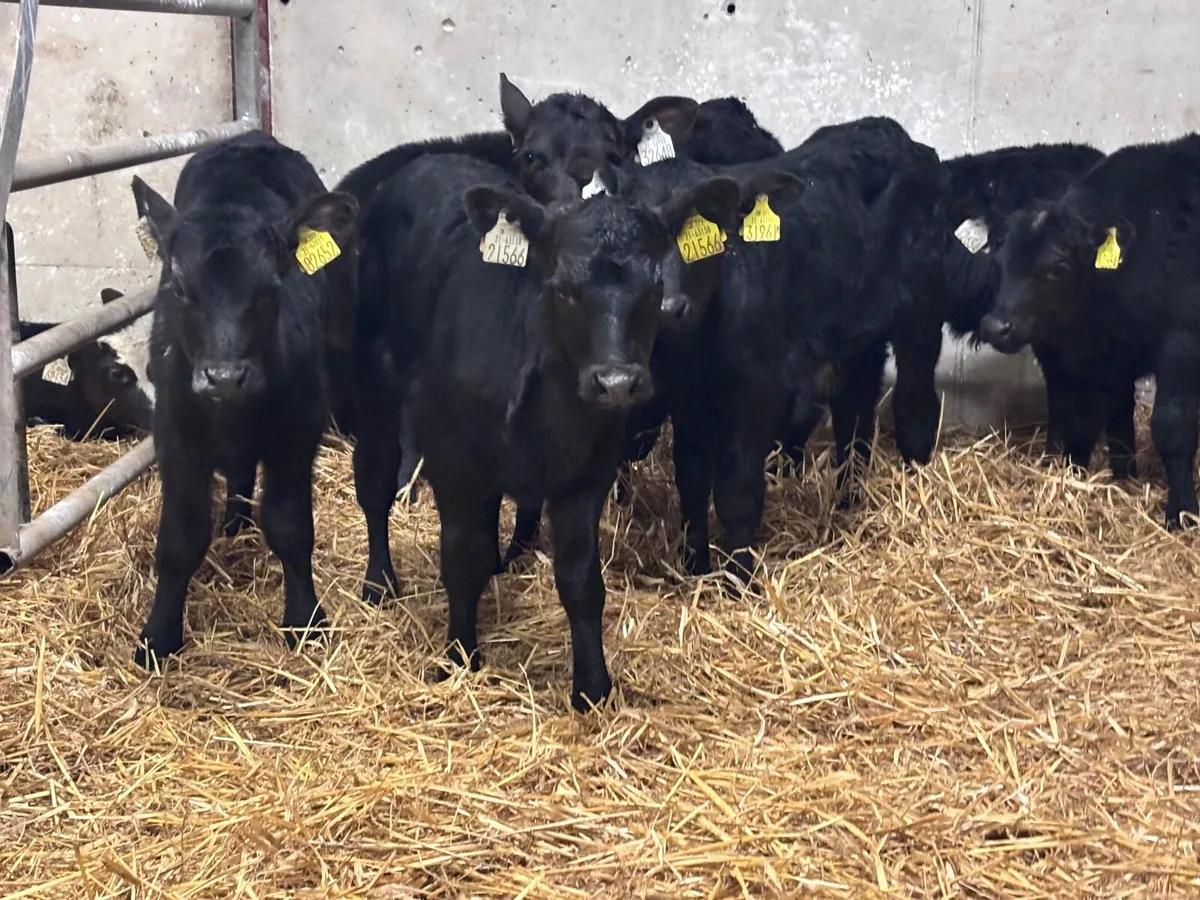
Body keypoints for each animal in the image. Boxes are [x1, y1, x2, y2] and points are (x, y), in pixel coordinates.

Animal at [129, 130, 358, 668]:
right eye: (179, 287)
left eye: (272, 285)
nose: (224, 377)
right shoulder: (174, 434)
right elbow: (180, 537)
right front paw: (158, 636)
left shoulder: (297, 430)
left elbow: (290, 525)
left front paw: (304, 619)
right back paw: (234, 520)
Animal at [351, 150, 740, 711]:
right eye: (563, 289)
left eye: (654, 288)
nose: (616, 382)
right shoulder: (454, 466)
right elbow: (460, 559)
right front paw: (459, 658)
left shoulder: (587, 476)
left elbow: (580, 580)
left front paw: (593, 687)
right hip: (372, 384)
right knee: (374, 482)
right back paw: (379, 582)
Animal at [979, 133, 1200, 529]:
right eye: (997, 259)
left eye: (1058, 267)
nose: (995, 326)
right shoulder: (1099, 353)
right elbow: (1090, 418)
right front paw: (1106, 477)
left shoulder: (1182, 340)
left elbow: (1171, 425)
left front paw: (1182, 512)